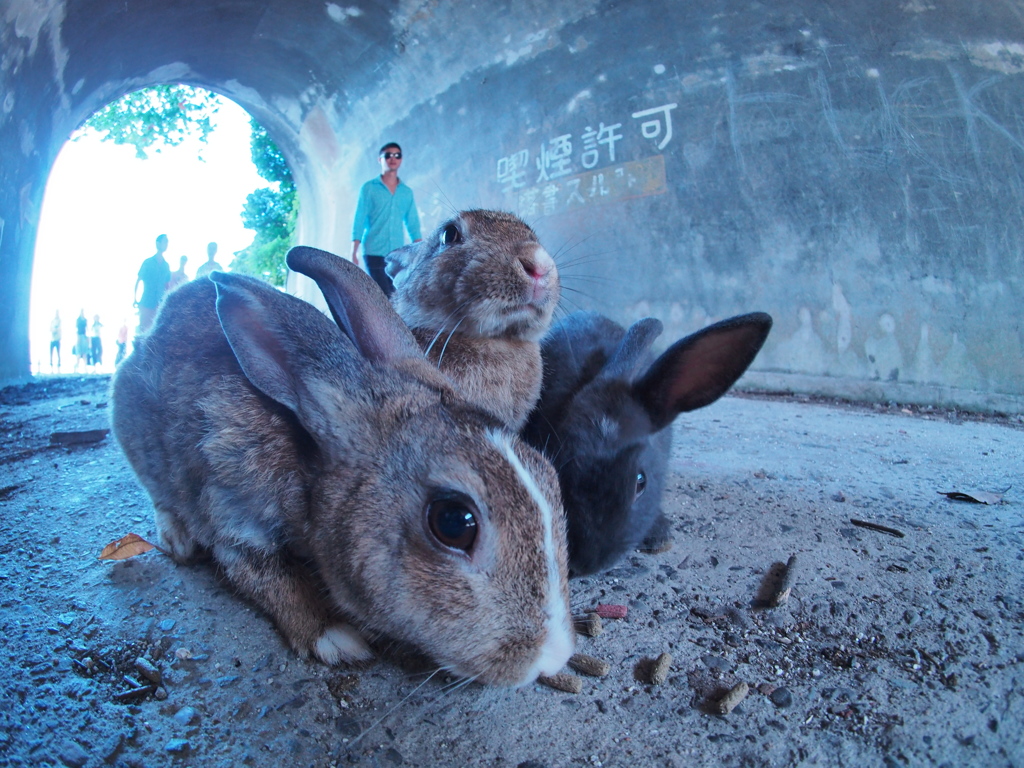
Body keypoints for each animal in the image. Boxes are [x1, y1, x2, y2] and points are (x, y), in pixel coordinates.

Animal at [114, 253, 577, 692]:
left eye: (552, 479)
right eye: (453, 523)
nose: (551, 658)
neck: (311, 473)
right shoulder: (233, 513)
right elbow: (267, 577)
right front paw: (337, 638)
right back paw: (177, 538)